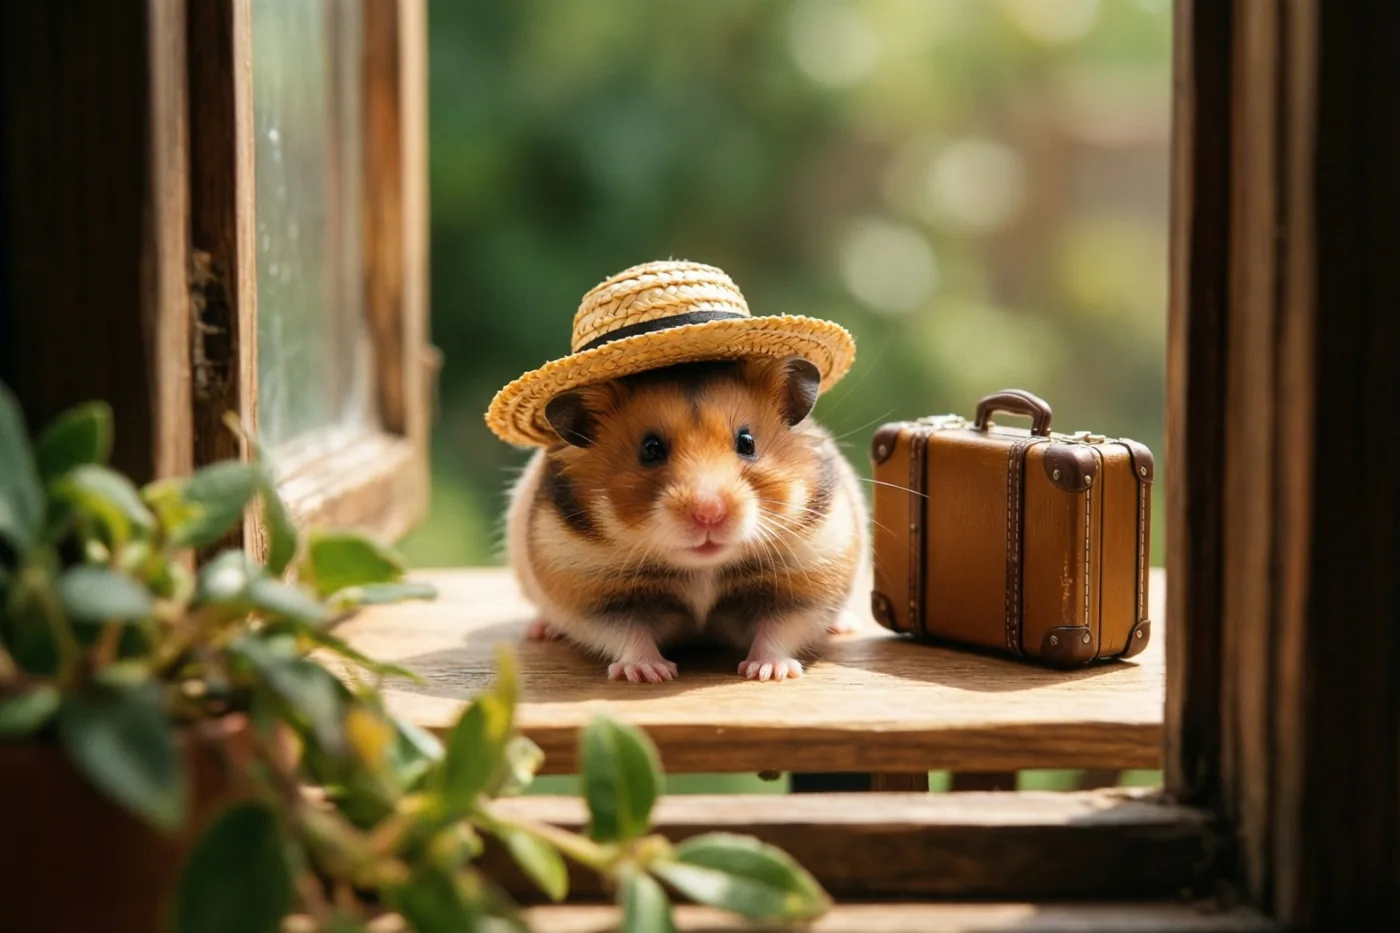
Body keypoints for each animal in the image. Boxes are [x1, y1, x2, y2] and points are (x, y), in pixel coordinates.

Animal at [504, 355, 870, 683]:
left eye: (747, 442)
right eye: (650, 449)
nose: (709, 513)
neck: (703, 568)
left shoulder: (803, 584)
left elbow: (779, 631)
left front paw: (769, 672)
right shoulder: (595, 596)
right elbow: (628, 635)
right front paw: (650, 674)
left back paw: (843, 625)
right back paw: (541, 630)